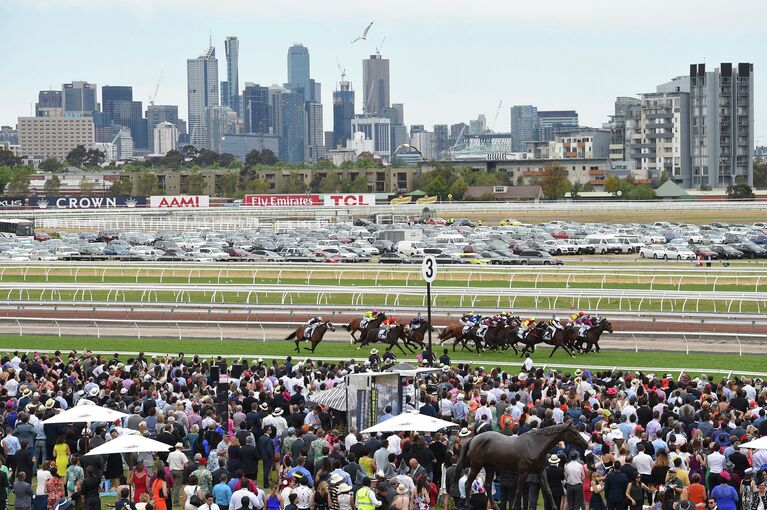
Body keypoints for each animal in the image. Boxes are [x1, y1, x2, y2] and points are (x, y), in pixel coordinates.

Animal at [456, 422, 588, 510]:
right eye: (574, 432)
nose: (586, 444)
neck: (535, 445)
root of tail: (474, 438)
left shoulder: (541, 472)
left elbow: (548, 490)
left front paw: (555, 507)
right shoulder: (524, 473)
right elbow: (518, 491)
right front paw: (515, 507)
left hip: (490, 467)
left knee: (487, 486)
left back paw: (495, 507)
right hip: (476, 466)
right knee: (468, 483)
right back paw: (467, 505)